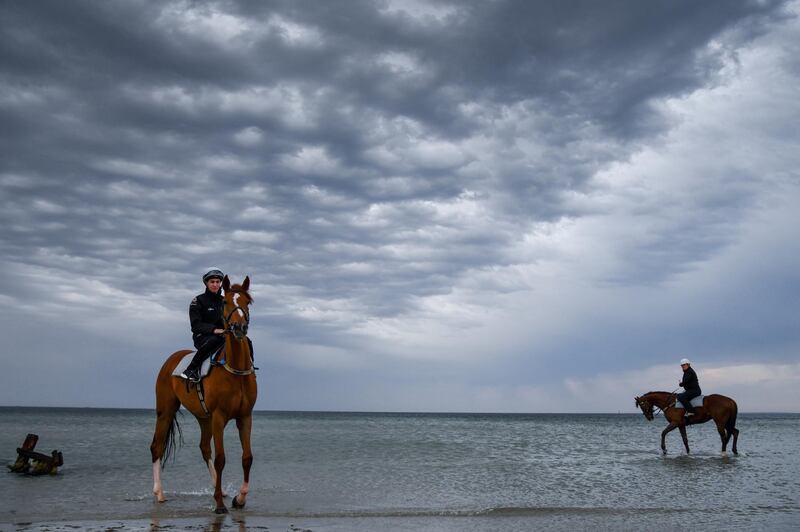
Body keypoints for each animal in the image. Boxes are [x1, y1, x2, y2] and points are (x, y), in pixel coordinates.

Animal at [150, 276, 256, 512]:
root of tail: (171, 359)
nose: (239, 327)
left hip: (203, 417)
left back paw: (221, 489)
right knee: (156, 447)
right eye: (225, 301)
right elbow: (221, 458)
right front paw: (219, 504)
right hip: (166, 411)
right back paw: (159, 493)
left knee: (204, 448)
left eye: (248, 302)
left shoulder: (245, 417)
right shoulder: (219, 417)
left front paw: (239, 498)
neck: (235, 370)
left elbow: (247, 458)